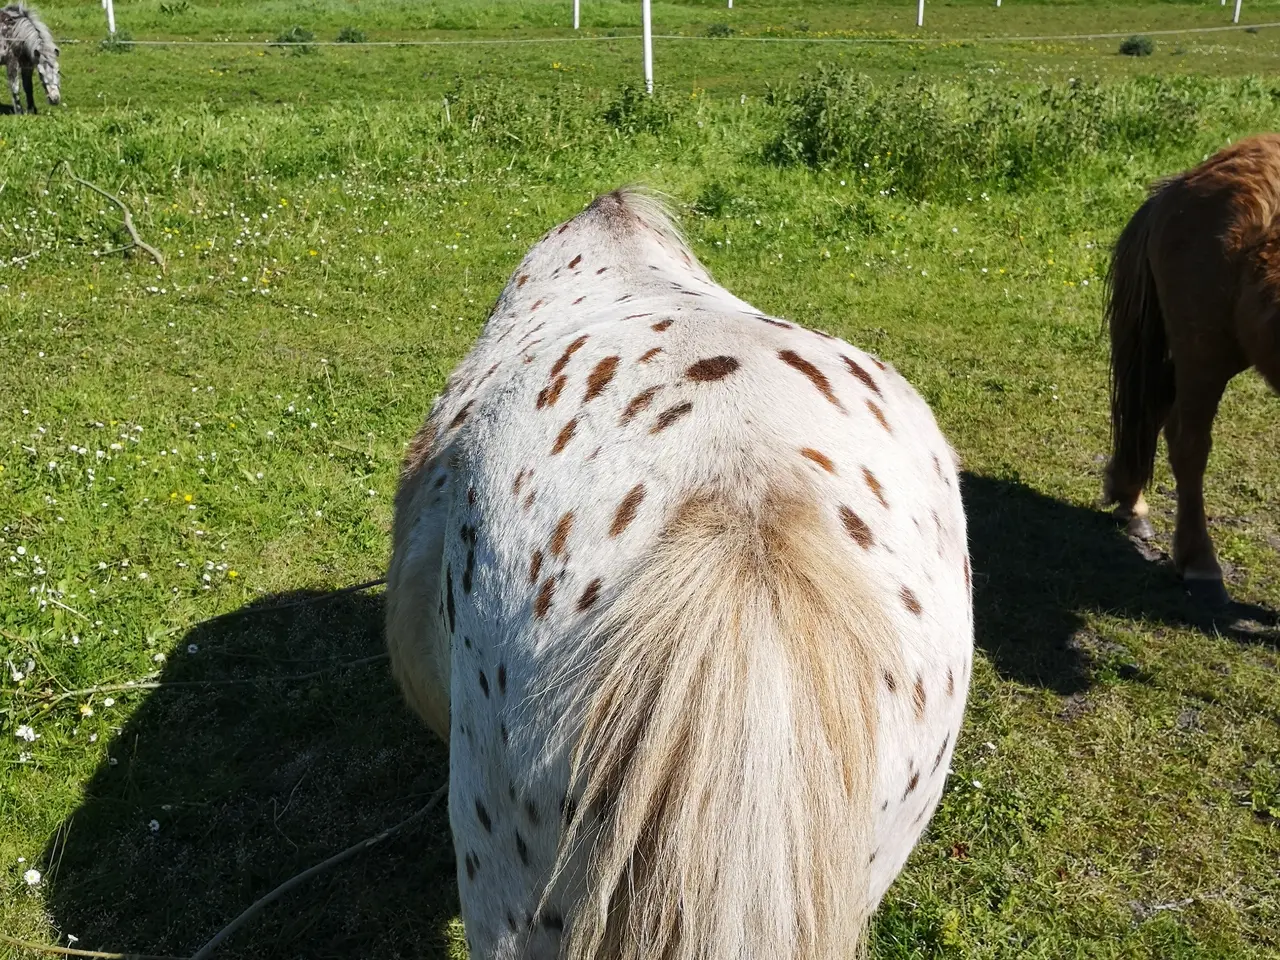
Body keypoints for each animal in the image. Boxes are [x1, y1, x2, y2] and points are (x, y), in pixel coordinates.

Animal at [1103, 134, 1280, 609]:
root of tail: (1184, 182)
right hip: (1205, 347)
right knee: (1187, 440)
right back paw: (1200, 563)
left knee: (1156, 405)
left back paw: (1130, 499)